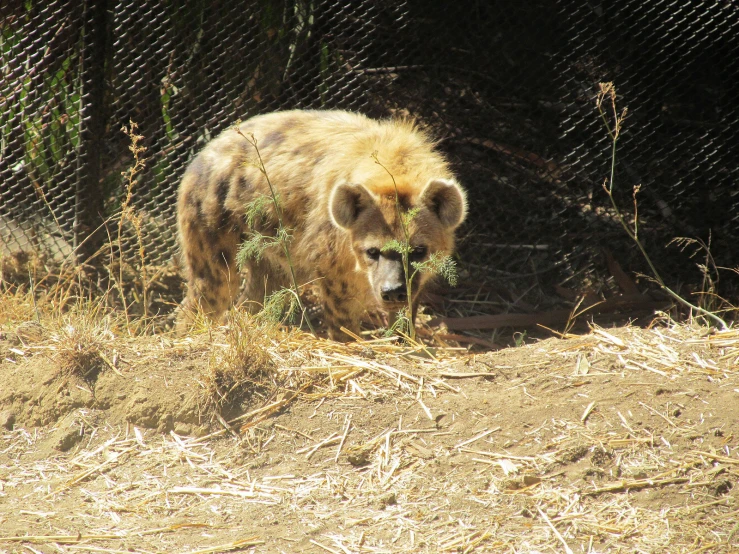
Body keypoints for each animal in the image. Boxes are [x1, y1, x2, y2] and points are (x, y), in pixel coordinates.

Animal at [176, 109, 466, 338]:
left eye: (418, 251)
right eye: (372, 251)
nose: (392, 291)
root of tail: (204, 151)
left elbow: (407, 314)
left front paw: (405, 341)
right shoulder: (331, 262)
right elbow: (343, 319)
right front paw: (351, 346)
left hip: (273, 255)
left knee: (255, 296)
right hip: (212, 234)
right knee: (207, 294)